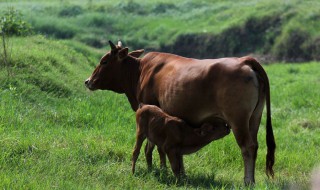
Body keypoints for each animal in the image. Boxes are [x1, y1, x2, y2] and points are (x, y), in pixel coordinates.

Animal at [84, 40, 276, 185]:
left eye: (104, 61)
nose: (88, 81)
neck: (140, 72)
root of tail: (245, 60)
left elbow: (154, 146)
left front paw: (161, 169)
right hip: (254, 118)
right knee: (255, 145)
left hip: (238, 120)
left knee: (247, 147)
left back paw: (248, 182)